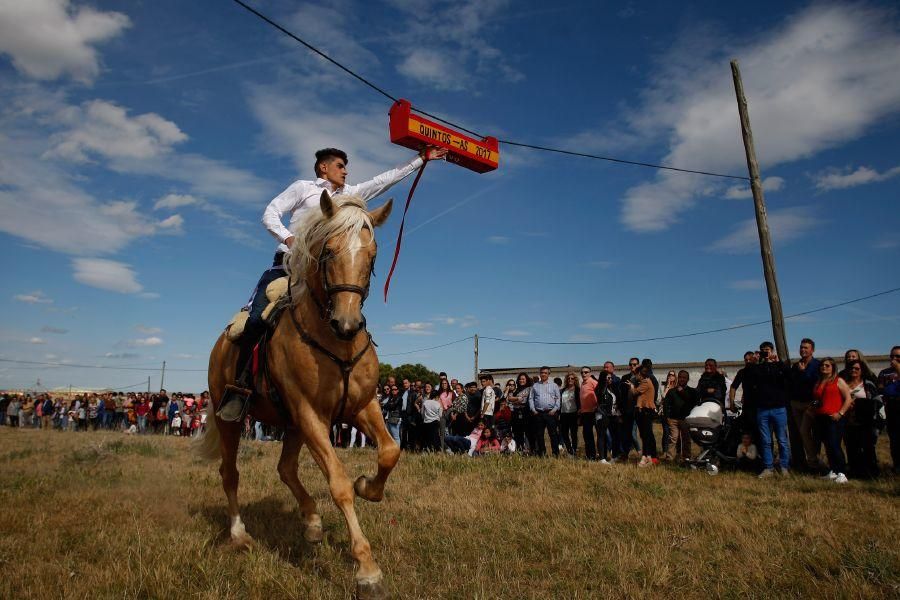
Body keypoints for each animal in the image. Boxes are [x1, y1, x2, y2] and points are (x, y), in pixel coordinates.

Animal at [199, 192, 400, 600]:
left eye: (372, 255)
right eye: (328, 251)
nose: (347, 323)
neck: (334, 342)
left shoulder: (362, 406)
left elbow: (390, 451)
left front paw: (368, 487)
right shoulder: (311, 415)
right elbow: (339, 484)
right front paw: (367, 570)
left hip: (290, 425)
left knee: (285, 469)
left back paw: (311, 522)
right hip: (233, 421)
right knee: (230, 473)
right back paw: (239, 534)